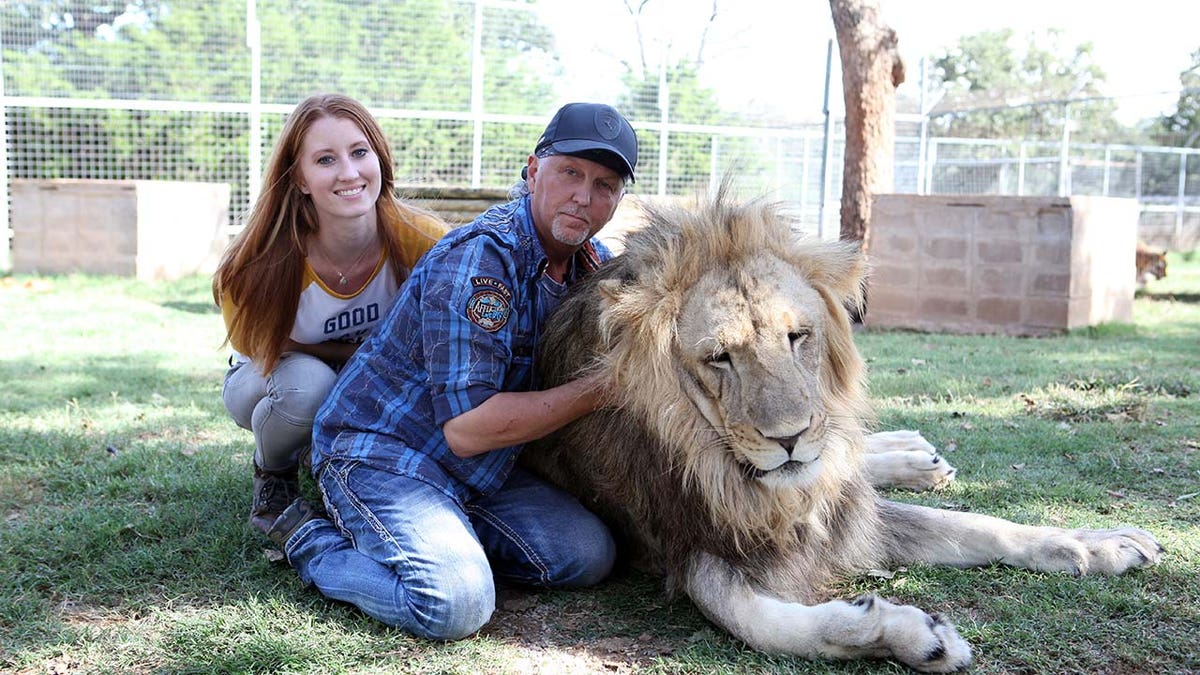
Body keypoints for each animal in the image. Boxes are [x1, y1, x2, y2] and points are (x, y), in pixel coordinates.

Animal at [525, 186, 1161, 667]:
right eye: (719, 358)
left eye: (797, 336)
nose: (789, 439)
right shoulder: (685, 539)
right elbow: (768, 625)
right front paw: (916, 637)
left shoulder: (837, 506)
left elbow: (978, 526)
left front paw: (1098, 543)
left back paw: (915, 457)